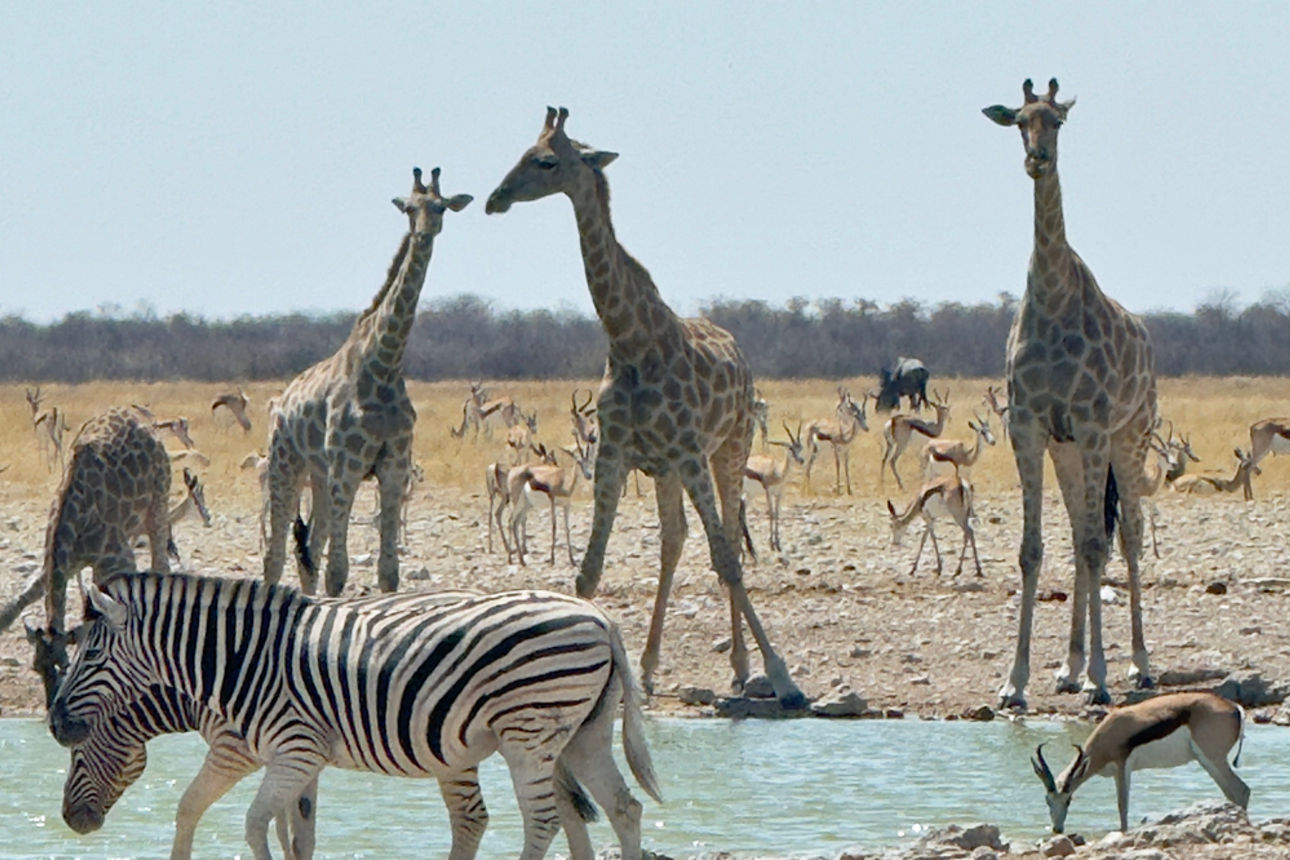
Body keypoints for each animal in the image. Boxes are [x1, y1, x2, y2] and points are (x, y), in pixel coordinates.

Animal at [50, 571, 661, 860]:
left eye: (91, 655)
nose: (56, 726)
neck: (239, 660)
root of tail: (600, 616)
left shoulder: (274, 750)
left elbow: (236, 819)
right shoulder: (299, 759)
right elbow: (294, 832)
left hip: (528, 734)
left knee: (543, 821)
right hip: (580, 735)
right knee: (622, 808)